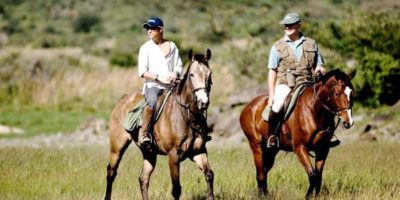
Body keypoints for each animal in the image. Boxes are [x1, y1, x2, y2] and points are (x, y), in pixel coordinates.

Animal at [104, 49, 214, 199]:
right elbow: (176, 189)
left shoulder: (199, 152)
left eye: (210, 73)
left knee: (143, 179)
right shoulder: (173, 156)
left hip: (149, 152)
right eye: (192, 74)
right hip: (117, 146)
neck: (186, 116)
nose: (203, 102)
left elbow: (209, 174)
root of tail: (122, 100)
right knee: (111, 173)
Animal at [239, 69, 358, 198]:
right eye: (337, 93)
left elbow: (318, 176)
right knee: (260, 174)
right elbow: (313, 175)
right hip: (257, 147)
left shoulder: (323, 149)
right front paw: (308, 196)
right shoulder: (300, 148)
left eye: (352, 93)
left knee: (264, 172)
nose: (349, 122)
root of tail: (248, 107)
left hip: (271, 151)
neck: (314, 111)